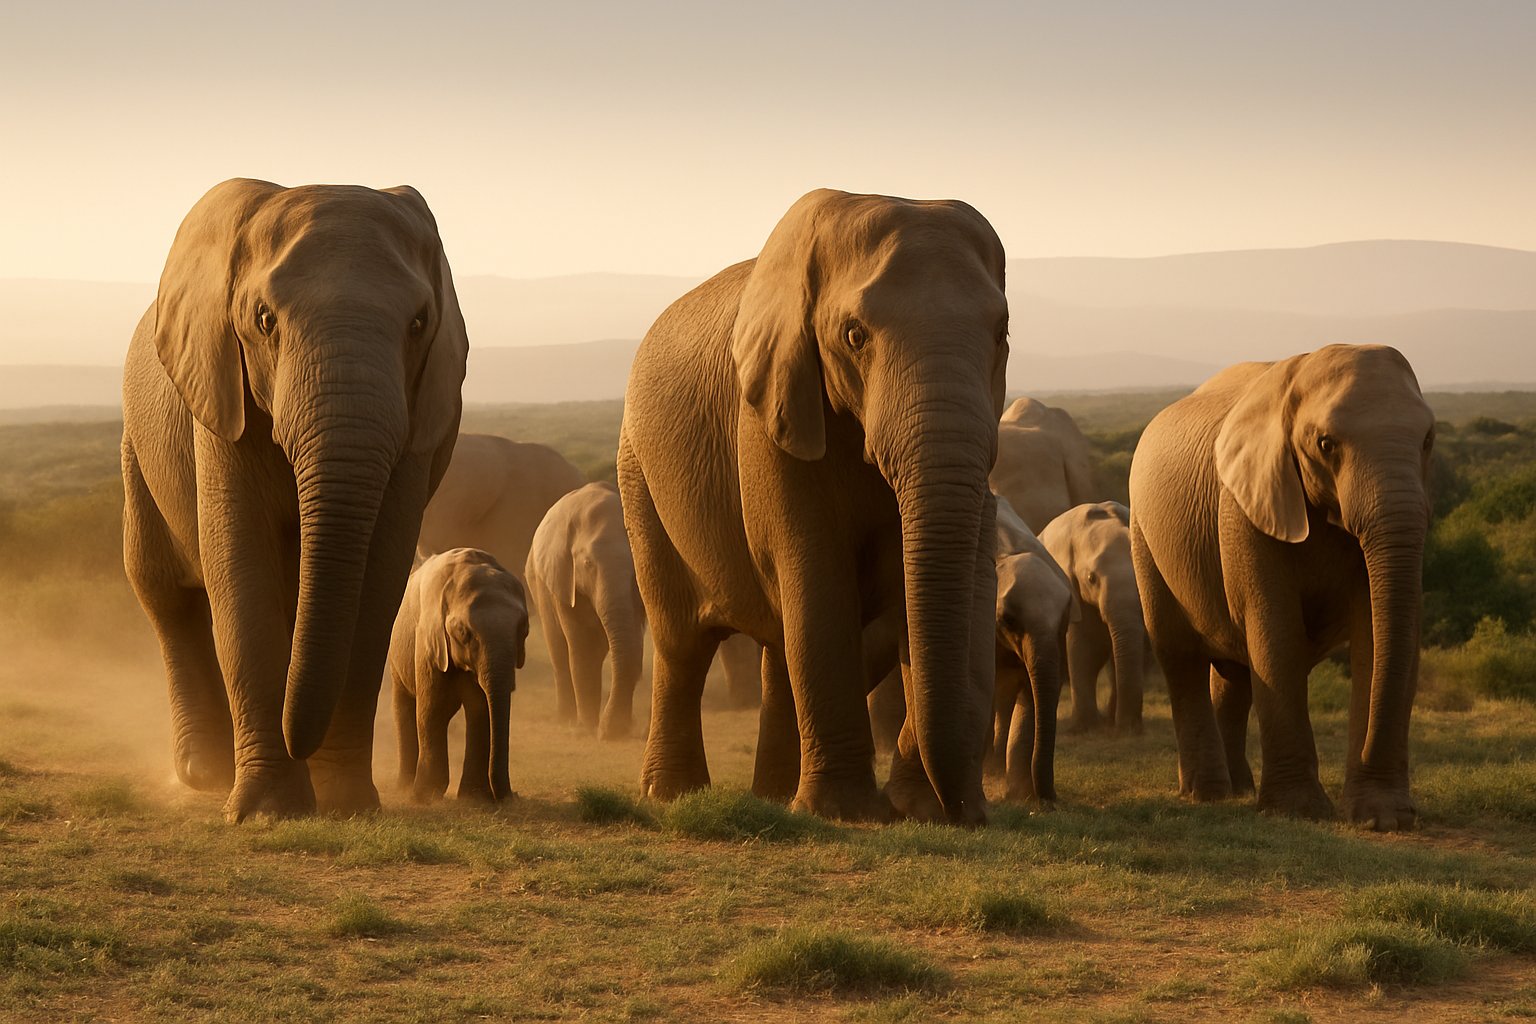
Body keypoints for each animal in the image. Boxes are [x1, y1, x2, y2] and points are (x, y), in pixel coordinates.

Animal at [120, 178, 467, 821]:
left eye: (418, 323)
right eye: (263, 320)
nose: (295, 738)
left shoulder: (417, 427)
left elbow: (376, 582)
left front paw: (346, 805)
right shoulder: (220, 394)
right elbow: (241, 566)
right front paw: (268, 812)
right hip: (137, 444)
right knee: (164, 592)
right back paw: (204, 773)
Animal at [389, 548, 528, 803]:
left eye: (524, 629)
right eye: (463, 632)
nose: (513, 795)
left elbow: (479, 709)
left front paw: (474, 798)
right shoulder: (428, 640)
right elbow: (432, 707)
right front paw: (425, 796)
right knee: (405, 704)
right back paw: (404, 788)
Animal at [525, 482, 646, 739]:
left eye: (635, 565)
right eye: (588, 564)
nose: (608, 732)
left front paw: (617, 727)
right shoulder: (563, 575)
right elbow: (581, 646)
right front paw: (589, 727)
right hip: (538, 581)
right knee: (559, 651)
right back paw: (566, 719)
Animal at [618, 188, 1009, 824]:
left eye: (1002, 332)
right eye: (854, 336)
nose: (968, 814)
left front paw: (909, 809)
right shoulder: (770, 416)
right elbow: (817, 576)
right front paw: (848, 814)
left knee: (779, 645)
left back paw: (775, 798)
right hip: (637, 473)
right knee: (682, 642)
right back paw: (674, 795)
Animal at [1128, 344, 1434, 830]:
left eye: (1428, 440)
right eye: (1326, 444)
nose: (1371, 823)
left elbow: (1375, 634)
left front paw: (1382, 816)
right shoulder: (1243, 504)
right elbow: (1276, 630)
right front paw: (1300, 812)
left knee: (1232, 675)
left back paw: (1239, 790)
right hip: (1144, 533)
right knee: (1178, 655)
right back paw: (1207, 794)